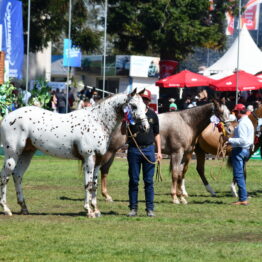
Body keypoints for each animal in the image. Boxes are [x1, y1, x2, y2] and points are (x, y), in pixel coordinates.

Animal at [0, 89, 149, 218]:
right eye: (134, 106)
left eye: (145, 107)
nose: (145, 127)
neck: (97, 121)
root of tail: (7, 117)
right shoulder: (89, 158)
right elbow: (88, 184)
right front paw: (88, 211)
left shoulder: (98, 160)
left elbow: (94, 184)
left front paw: (96, 210)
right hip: (12, 154)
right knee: (5, 176)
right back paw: (6, 209)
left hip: (27, 153)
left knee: (17, 175)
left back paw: (24, 208)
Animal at [99, 101, 230, 204]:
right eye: (221, 112)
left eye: (229, 112)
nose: (229, 129)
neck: (186, 122)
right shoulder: (177, 153)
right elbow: (175, 174)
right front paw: (175, 198)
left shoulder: (183, 155)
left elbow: (180, 175)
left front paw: (181, 197)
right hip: (110, 150)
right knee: (101, 169)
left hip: (113, 151)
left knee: (104, 170)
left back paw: (107, 196)